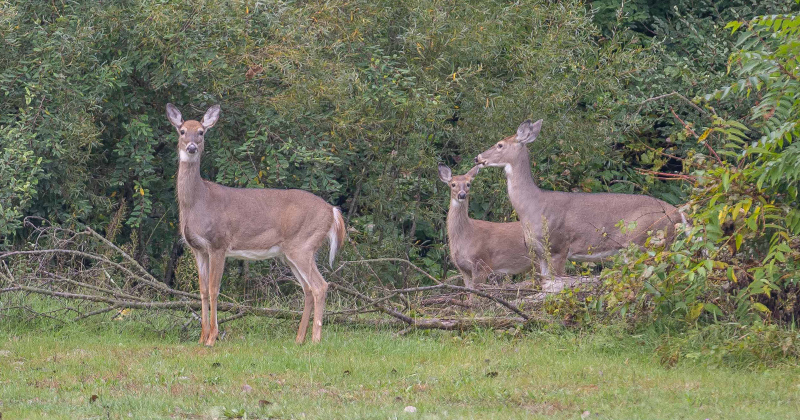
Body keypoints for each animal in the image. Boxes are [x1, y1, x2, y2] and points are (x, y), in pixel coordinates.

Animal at [167, 103, 346, 346]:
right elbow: (202, 290)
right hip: (290, 253)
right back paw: (298, 339)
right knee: (308, 289)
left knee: (320, 286)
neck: (198, 201)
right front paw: (202, 338)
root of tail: (332, 211)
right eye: (182, 131)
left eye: (202, 132)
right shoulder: (198, 249)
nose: (192, 147)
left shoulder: (219, 244)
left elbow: (214, 289)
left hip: (303, 244)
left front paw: (212, 338)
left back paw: (315, 340)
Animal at [438, 163, 536, 292]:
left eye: (468, 184)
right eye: (453, 184)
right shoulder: (463, 268)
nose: (462, 194)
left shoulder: (482, 264)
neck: (465, 235)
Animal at [476, 119, 688, 276]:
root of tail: (678, 213)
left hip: (645, 240)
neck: (533, 206)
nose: (478, 158)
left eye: (500, 145)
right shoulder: (540, 253)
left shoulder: (559, 246)